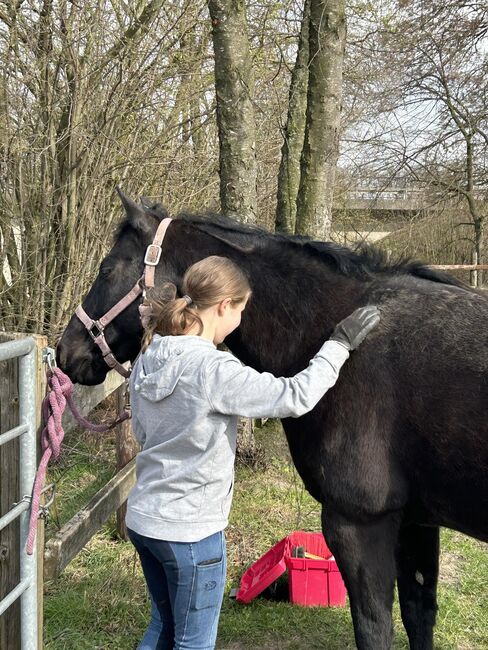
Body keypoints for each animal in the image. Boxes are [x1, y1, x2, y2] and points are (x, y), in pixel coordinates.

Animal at [58, 192, 488, 648]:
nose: (67, 352)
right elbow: (419, 613)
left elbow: (375, 628)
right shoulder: (415, 521)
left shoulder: (359, 524)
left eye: (107, 269)